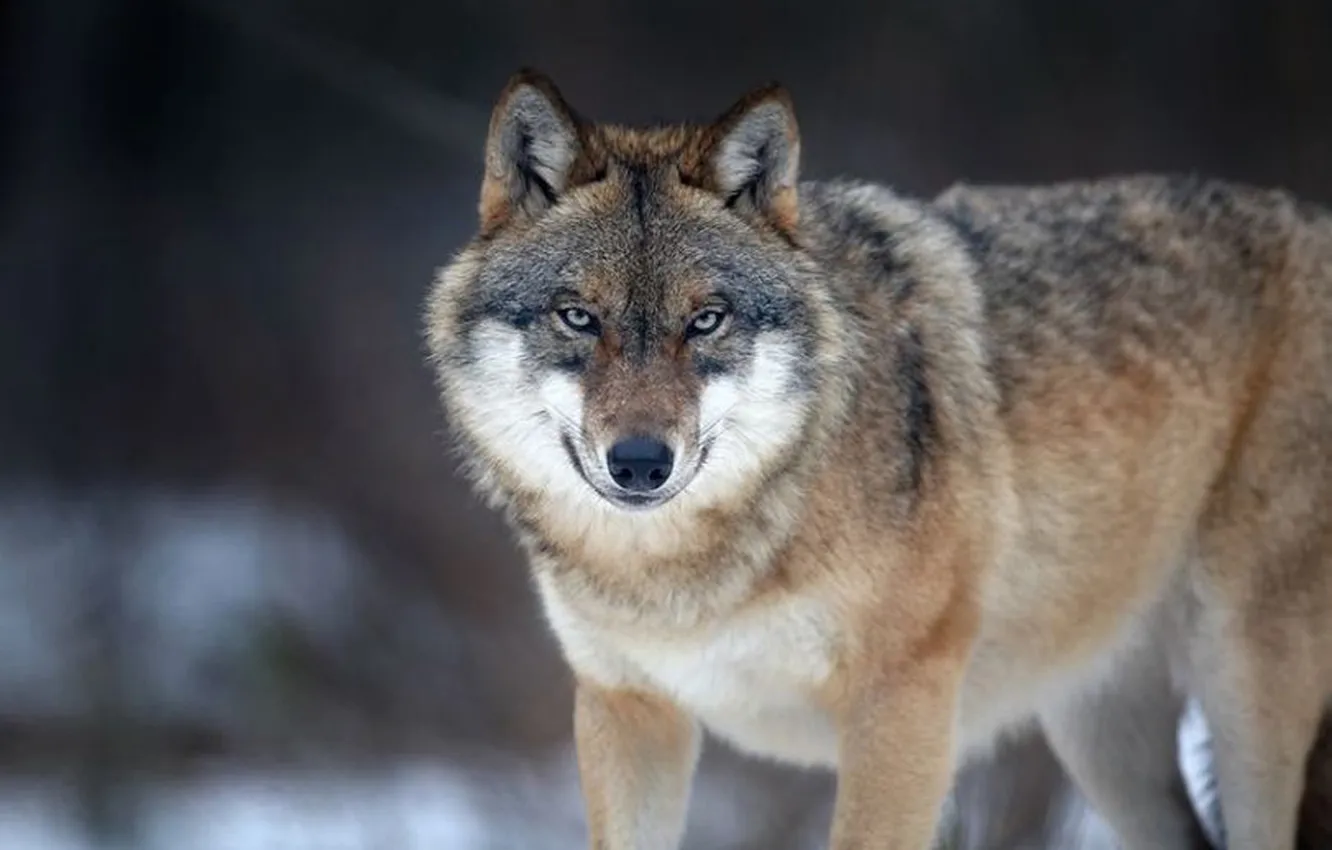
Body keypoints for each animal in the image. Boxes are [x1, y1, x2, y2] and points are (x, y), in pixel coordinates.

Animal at [424, 68, 1332, 850]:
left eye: (707, 320)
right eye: (578, 317)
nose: (641, 463)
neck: (684, 577)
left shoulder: (902, 703)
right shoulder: (628, 710)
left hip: (1242, 688)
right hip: (1099, 734)